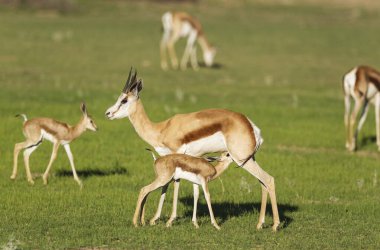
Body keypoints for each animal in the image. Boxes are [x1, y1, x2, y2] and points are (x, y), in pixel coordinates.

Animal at [105, 68, 280, 230]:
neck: (161, 129)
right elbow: (184, 189)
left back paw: (275, 225)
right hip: (248, 159)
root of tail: (251, 125)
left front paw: (168, 220)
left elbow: (175, 184)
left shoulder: (176, 156)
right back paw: (260, 224)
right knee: (262, 183)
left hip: (241, 159)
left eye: (124, 100)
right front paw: (163, 220)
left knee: (268, 180)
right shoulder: (186, 160)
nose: (108, 113)